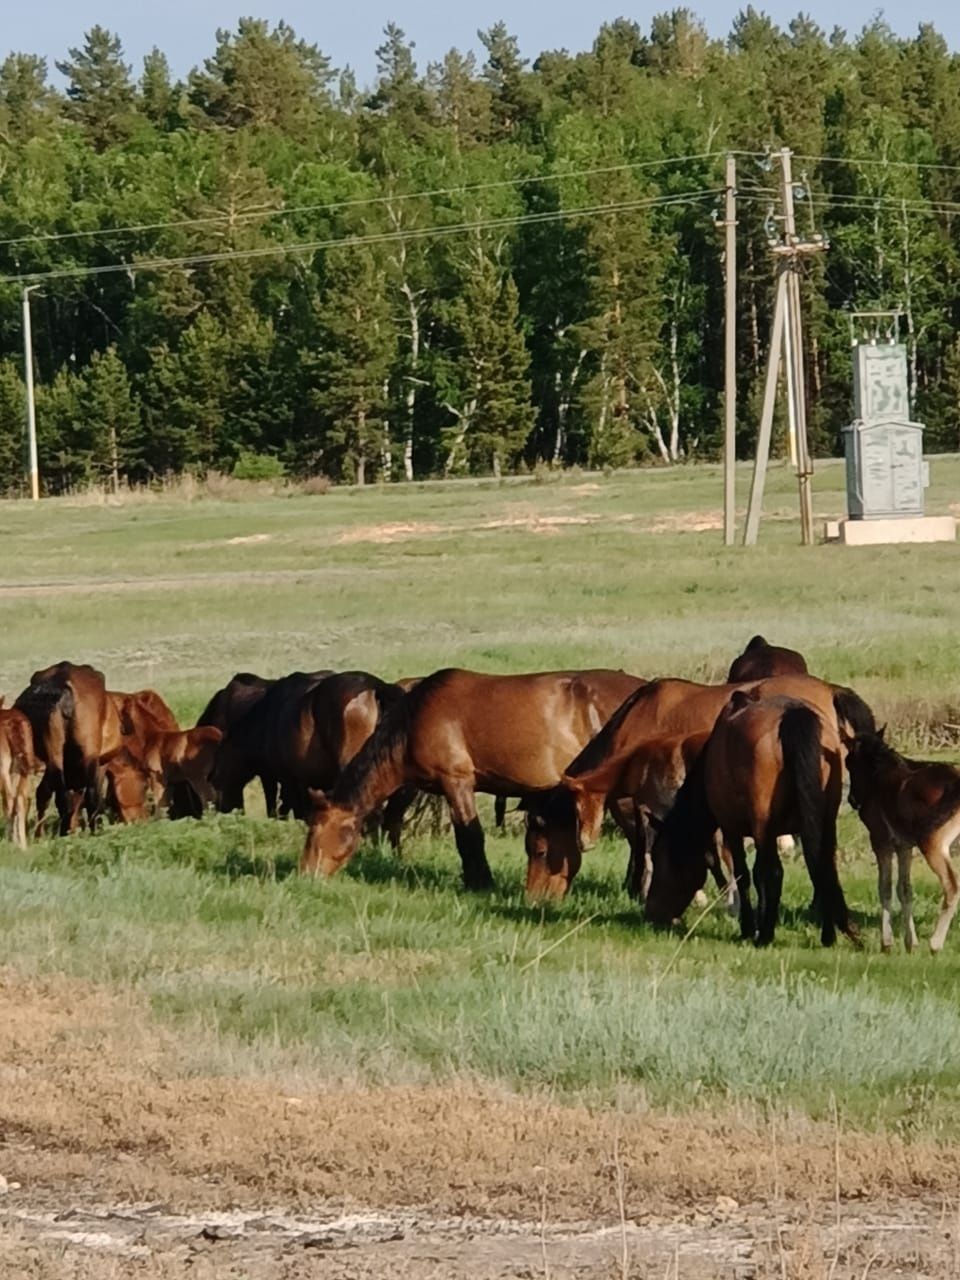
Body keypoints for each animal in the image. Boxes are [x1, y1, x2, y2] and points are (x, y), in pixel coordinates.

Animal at [15, 660, 124, 839]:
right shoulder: (101, 763)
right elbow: (92, 797)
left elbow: (45, 792)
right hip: (89, 755)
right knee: (88, 795)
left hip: (54, 755)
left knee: (55, 794)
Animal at [300, 670, 647, 890]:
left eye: (315, 832)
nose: (304, 876)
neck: (412, 721)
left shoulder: (457, 782)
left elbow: (469, 837)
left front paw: (481, 882)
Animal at [647, 691, 855, 952]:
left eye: (660, 859)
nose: (650, 912)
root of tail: (794, 716)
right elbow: (758, 875)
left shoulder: (732, 828)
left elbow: (745, 875)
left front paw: (749, 928)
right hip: (824, 821)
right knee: (822, 867)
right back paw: (828, 935)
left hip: (764, 825)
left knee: (776, 873)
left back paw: (765, 936)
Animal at [844, 732, 960, 952]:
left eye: (848, 762)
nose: (852, 800)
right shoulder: (904, 846)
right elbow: (905, 889)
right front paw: (910, 943)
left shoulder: (880, 841)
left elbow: (885, 887)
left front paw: (886, 943)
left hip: (932, 845)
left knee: (951, 886)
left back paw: (935, 944)